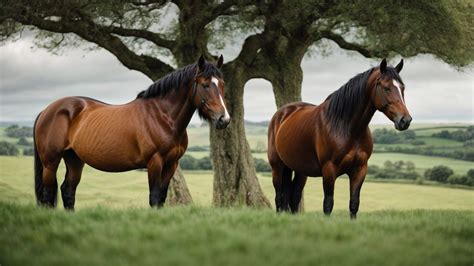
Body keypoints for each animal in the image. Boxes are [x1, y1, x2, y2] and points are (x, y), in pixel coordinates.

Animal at [32, 55, 230, 209]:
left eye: (222, 84)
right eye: (205, 84)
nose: (224, 119)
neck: (162, 116)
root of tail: (47, 111)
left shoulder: (171, 164)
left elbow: (162, 198)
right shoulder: (155, 162)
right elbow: (154, 197)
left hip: (74, 159)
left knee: (68, 191)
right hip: (50, 162)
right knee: (48, 195)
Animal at [266, 58, 412, 218]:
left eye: (402, 88)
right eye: (386, 88)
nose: (405, 120)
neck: (347, 127)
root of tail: (282, 113)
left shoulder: (360, 169)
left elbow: (354, 204)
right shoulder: (329, 170)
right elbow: (328, 204)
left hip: (300, 170)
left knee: (294, 197)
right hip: (277, 167)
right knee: (279, 197)